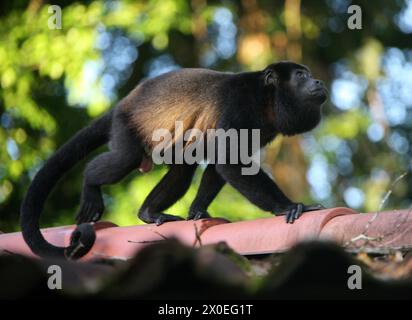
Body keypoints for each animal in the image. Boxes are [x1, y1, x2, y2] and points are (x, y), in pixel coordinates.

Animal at [20, 60, 328, 260]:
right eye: (301, 75)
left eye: (309, 74)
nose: (319, 81)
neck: (267, 100)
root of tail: (122, 104)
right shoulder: (241, 105)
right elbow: (228, 159)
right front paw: (288, 206)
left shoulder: (263, 128)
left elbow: (220, 164)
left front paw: (198, 211)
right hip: (125, 126)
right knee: (124, 159)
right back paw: (90, 185)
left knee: (182, 170)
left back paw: (149, 212)